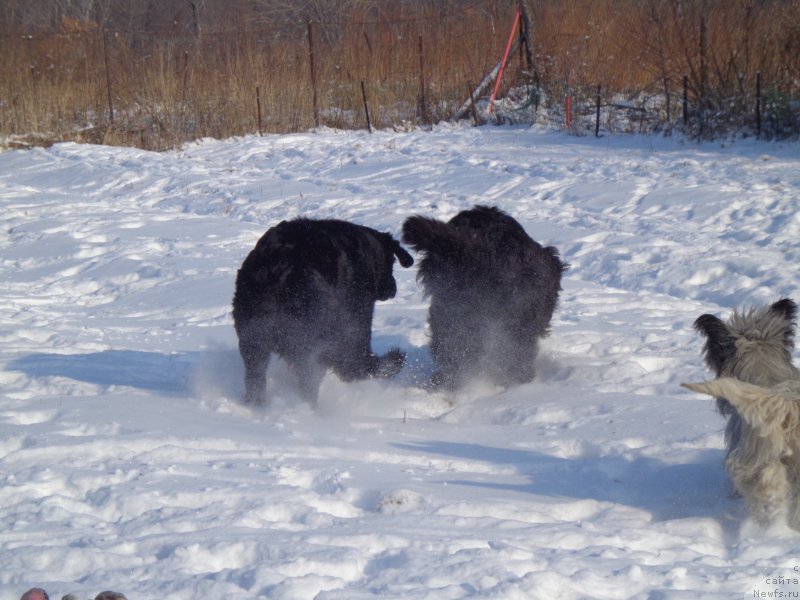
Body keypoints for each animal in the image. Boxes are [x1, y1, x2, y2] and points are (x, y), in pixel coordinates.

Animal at [233, 218, 412, 406]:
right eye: (391, 262)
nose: (393, 287)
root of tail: (277, 268)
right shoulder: (356, 319)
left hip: (253, 339)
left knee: (255, 379)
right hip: (306, 342)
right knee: (308, 382)